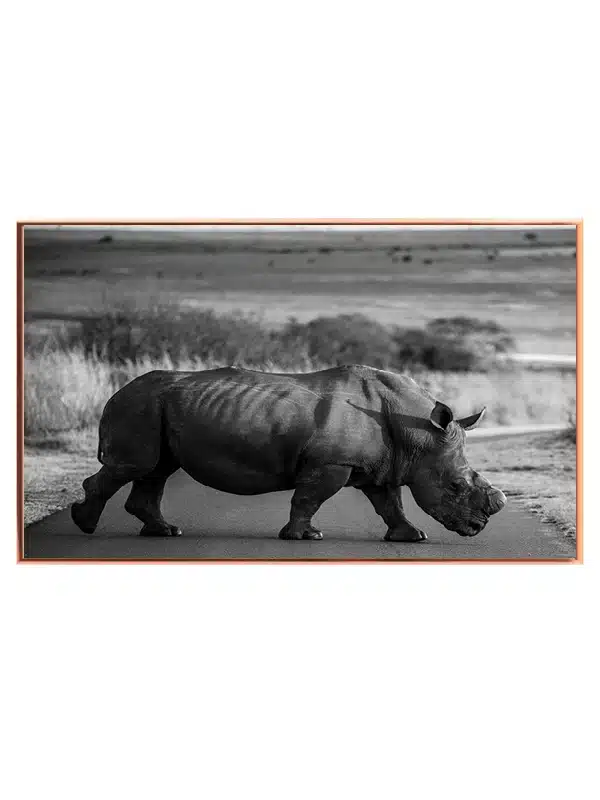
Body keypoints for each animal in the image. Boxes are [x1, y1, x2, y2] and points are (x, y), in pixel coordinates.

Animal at [71, 365, 507, 541]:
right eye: (455, 486)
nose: (478, 528)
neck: (417, 433)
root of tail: (117, 390)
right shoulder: (331, 462)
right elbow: (309, 498)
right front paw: (304, 536)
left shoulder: (382, 464)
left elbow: (390, 503)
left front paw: (412, 537)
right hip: (139, 405)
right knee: (138, 465)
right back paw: (85, 525)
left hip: (152, 407)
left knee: (157, 469)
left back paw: (165, 532)